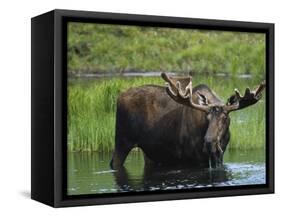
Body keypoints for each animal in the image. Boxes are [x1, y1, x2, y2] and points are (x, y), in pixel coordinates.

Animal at [110, 73, 264, 170]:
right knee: (113, 163)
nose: (209, 143)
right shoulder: (187, 158)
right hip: (122, 141)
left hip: (149, 152)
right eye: (207, 118)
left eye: (225, 117)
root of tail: (119, 97)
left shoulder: (219, 157)